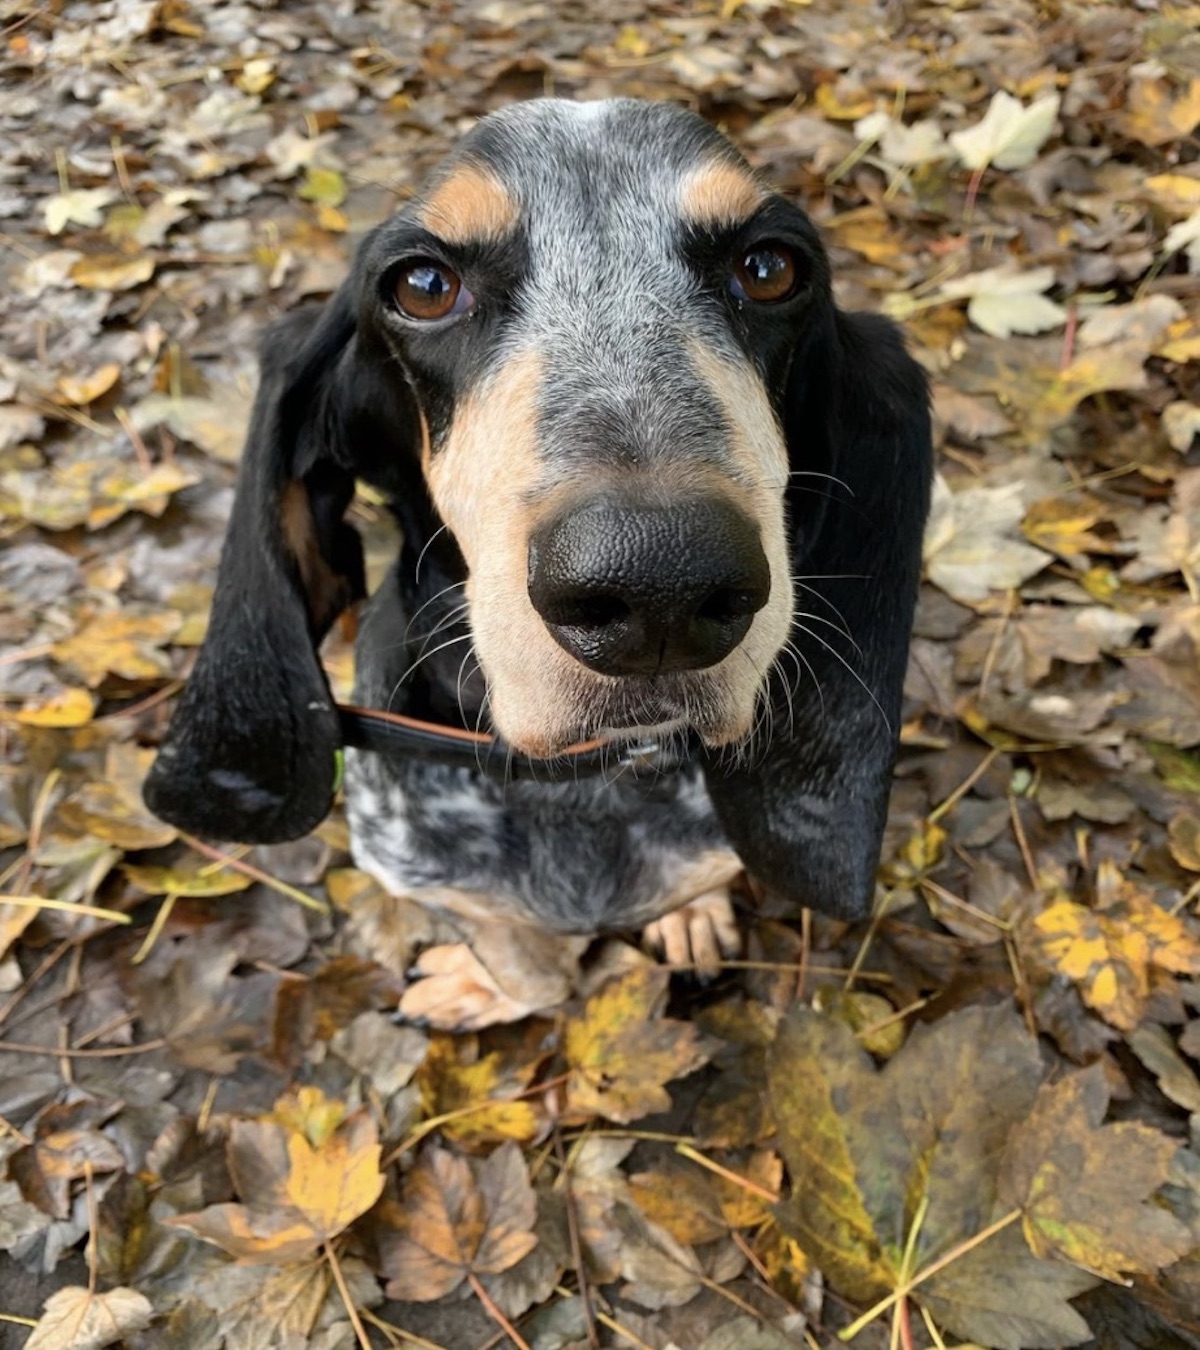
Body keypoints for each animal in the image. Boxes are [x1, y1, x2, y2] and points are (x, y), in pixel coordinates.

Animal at [138, 97, 928, 1020]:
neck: (585, 786)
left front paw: (687, 917)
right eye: (423, 286)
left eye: (769, 268)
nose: (658, 580)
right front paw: (488, 983)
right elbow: (530, 967)